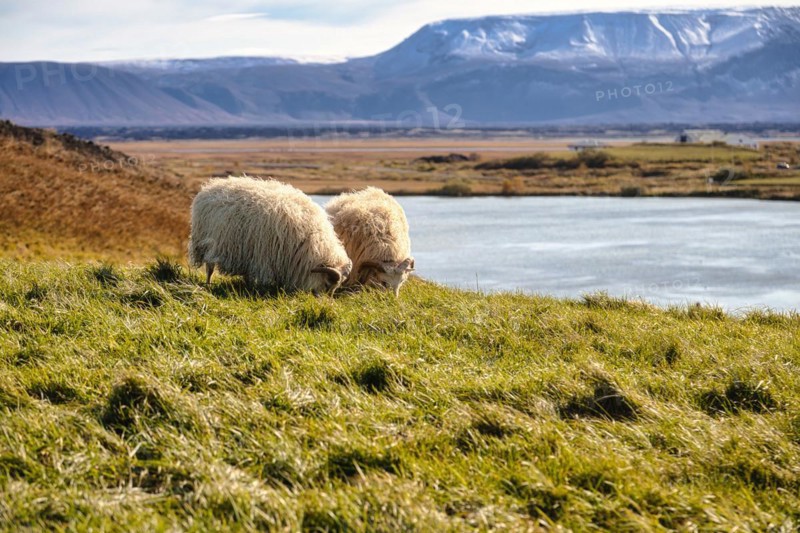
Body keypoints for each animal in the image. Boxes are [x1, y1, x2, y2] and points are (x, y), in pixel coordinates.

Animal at [188, 176, 351, 295]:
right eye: (327, 284)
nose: (324, 302)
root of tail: (211, 185)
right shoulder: (264, 257)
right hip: (205, 243)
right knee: (209, 267)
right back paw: (208, 284)